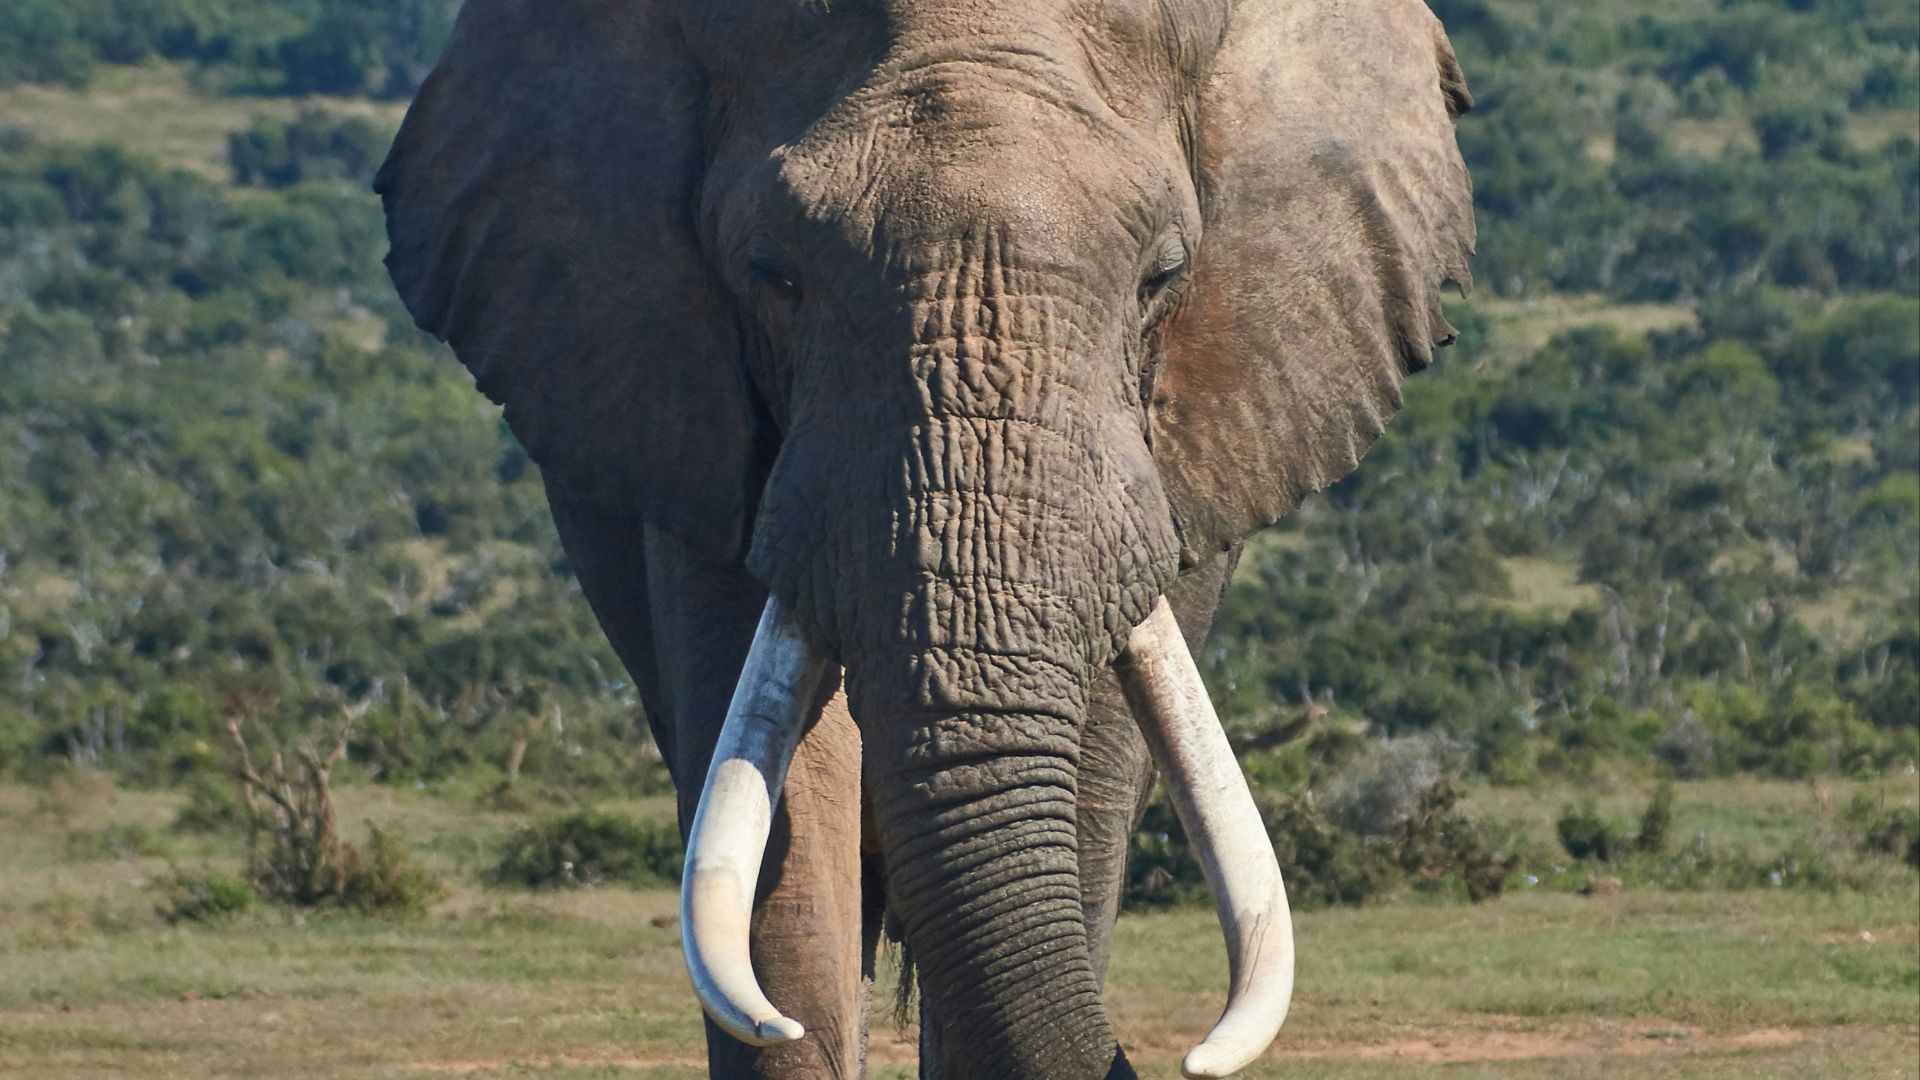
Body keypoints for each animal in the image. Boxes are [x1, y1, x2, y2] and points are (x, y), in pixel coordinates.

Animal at [374, 0, 1474, 1077]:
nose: (1191, 1060)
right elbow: (790, 827)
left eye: (1163, 274)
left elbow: (1093, 779)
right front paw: (782, 1015)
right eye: (771, 274)